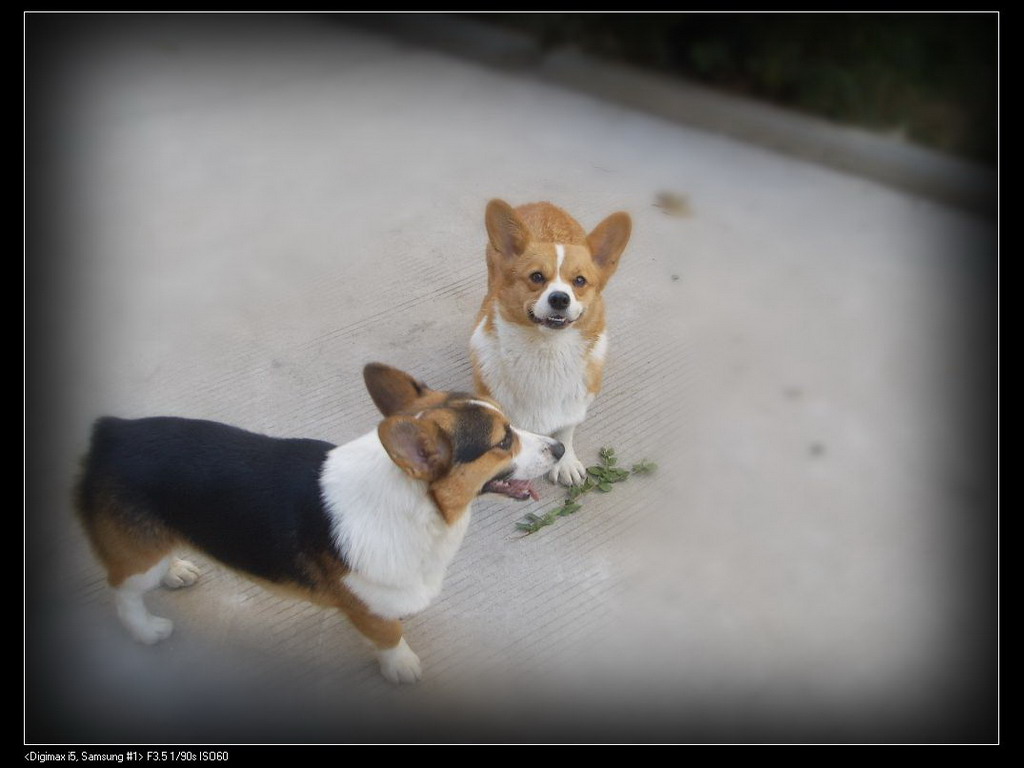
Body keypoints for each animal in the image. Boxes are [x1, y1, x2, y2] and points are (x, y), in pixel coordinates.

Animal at [74, 363, 563, 684]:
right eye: (503, 441)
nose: (559, 448)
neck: (415, 505)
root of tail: (110, 432)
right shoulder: (366, 606)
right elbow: (391, 635)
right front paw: (401, 667)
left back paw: (176, 569)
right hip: (135, 564)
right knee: (123, 591)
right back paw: (145, 629)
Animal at [470, 199, 631, 485]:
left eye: (579, 281)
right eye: (536, 277)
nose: (559, 299)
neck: (547, 350)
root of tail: (543, 204)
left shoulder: (576, 403)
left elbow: (566, 428)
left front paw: (566, 463)